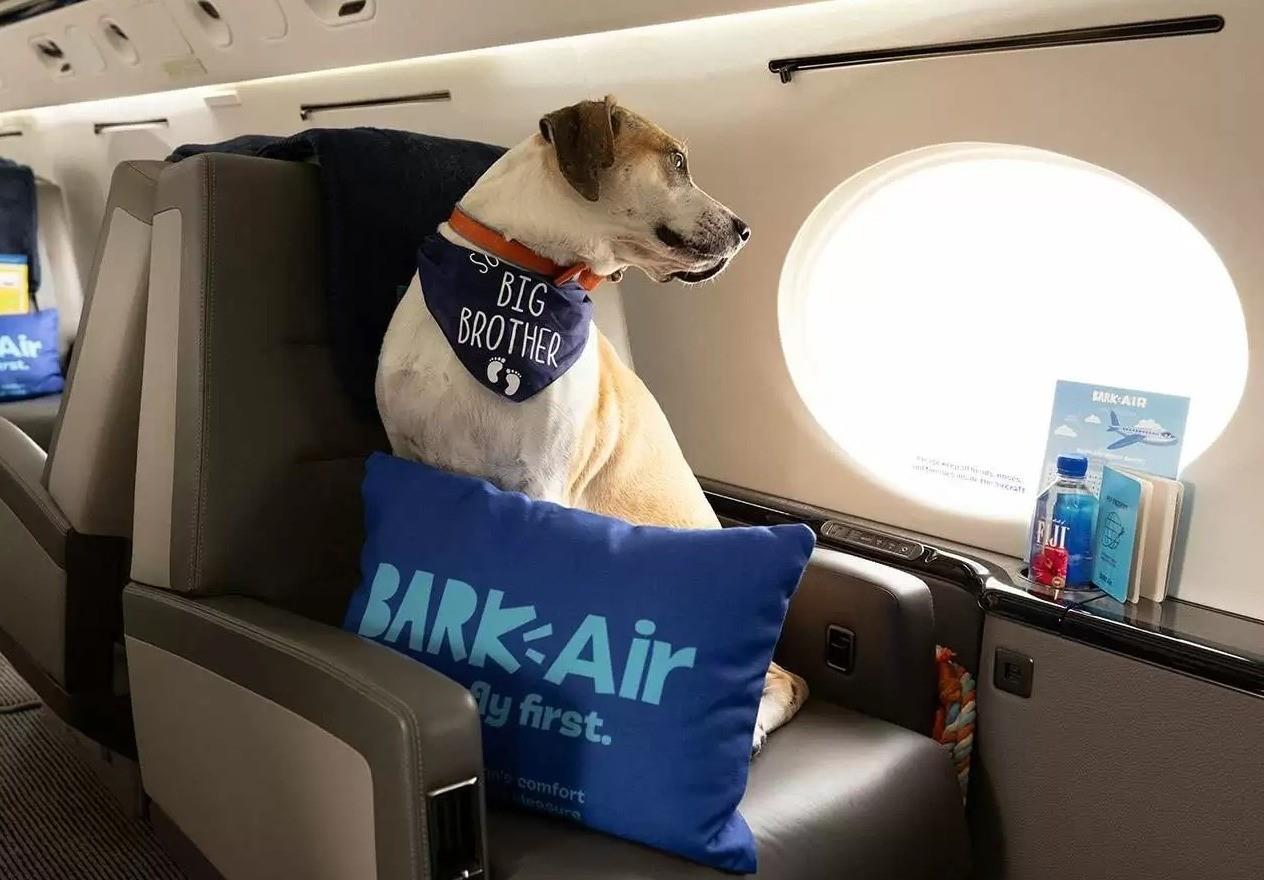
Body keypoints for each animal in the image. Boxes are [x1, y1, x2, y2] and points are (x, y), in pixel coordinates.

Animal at [376, 97, 808, 758]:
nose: (744, 229)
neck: (518, 270)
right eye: (677, 161)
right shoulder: (409, 457)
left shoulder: (541, 484)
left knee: (783, 681)